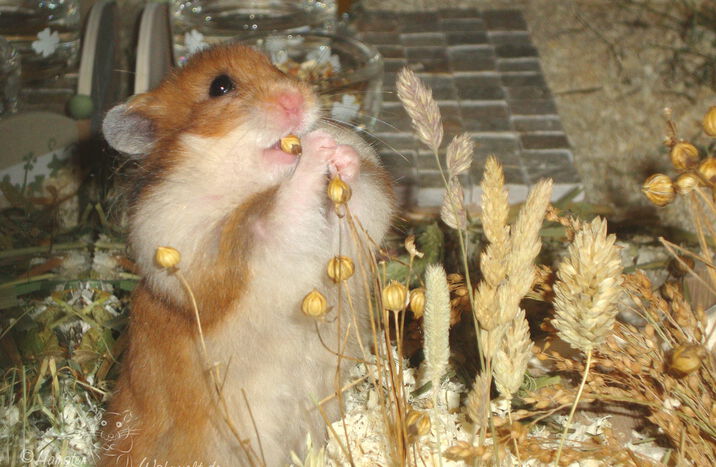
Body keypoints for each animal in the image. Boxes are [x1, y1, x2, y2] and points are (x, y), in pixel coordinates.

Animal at [99, 44, 394, 466]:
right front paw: (316, 150)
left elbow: (365, 198)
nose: (297, 100)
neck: (255, 182)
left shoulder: (351, 239)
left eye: (276, 67)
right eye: (220, 86)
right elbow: (275, 213)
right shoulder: (215, 253)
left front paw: (340, 152)